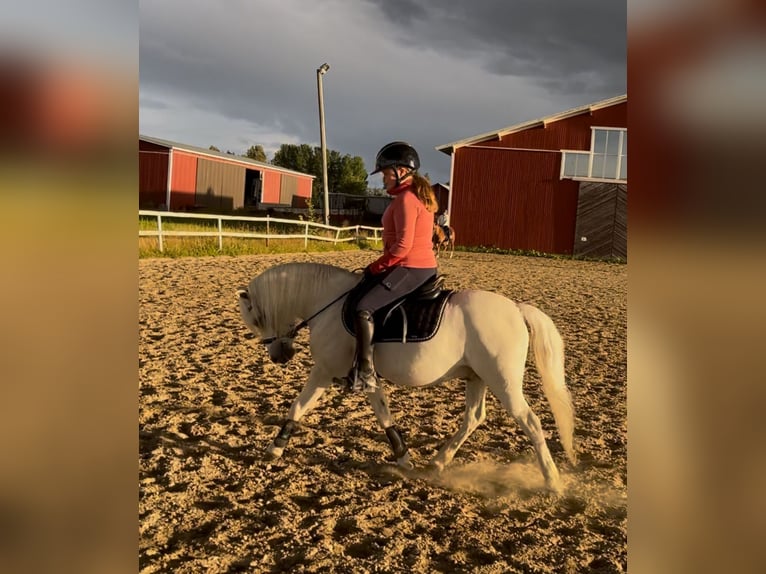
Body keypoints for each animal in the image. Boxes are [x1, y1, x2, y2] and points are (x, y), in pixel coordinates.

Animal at [237, 262, 576, 493]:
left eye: (257, 318)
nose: (279, 355)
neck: (327, 303)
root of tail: (516, 308)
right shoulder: (367, 377)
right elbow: (383, 414)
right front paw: (403, 457)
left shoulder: (323, 370)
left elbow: (298, 406)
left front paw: (275, 448)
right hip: (477, 377)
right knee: (474, 417)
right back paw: (439, 461)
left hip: (502, 381)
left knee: (529, 421)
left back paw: (552, 481)